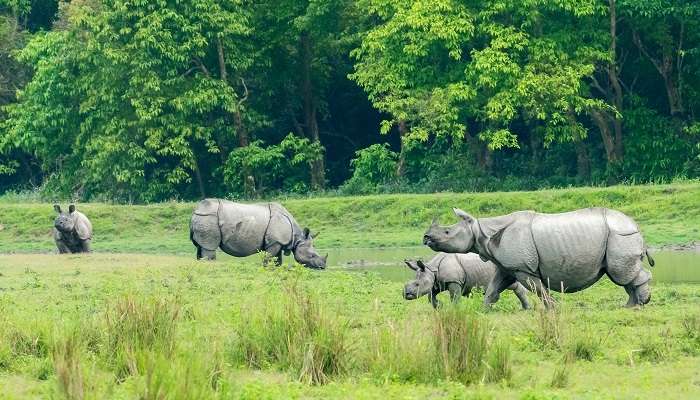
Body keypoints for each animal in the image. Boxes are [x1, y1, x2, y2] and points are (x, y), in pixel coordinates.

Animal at [190, 199, 330, 268]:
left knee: (200, 247)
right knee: (209, 247)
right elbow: (269, 257)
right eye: (312, 255)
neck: (297, 237)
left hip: (204, 218)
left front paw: (276, 268)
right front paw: (266, 268)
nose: (323, 267)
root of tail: (196, 211)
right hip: (209, 218)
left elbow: (278, 259)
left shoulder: (277, 242)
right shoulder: (274, 242)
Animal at [422, 208, 656, 308]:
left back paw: (639, 304)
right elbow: (492, 290)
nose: (426, 237)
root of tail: (635, 225)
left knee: (621, 274)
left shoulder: (523, 267)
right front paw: (484, 310)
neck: (481, 231)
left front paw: (553, 308)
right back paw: (630, 305)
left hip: (620, 235)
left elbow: (539, 290)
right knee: (622, 275)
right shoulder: (508, 267)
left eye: (447, 232)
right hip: (619, 235)